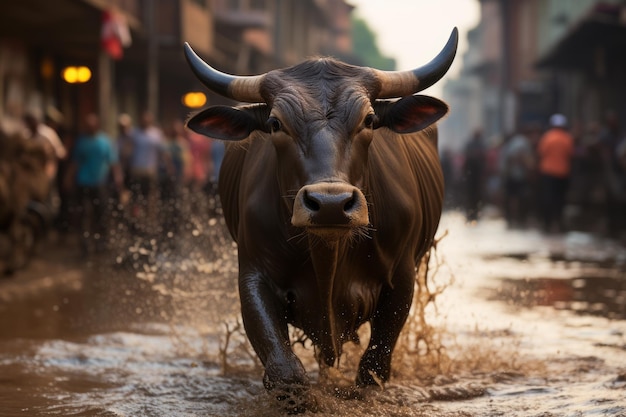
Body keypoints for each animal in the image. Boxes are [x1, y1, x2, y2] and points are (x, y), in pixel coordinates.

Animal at [183, 27, 456, 408]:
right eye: (275, 123)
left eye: (369, 120)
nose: (330, 203)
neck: (328, 255)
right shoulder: (253, 275)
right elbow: (286, 374)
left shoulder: (402, 278)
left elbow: (373, 369)